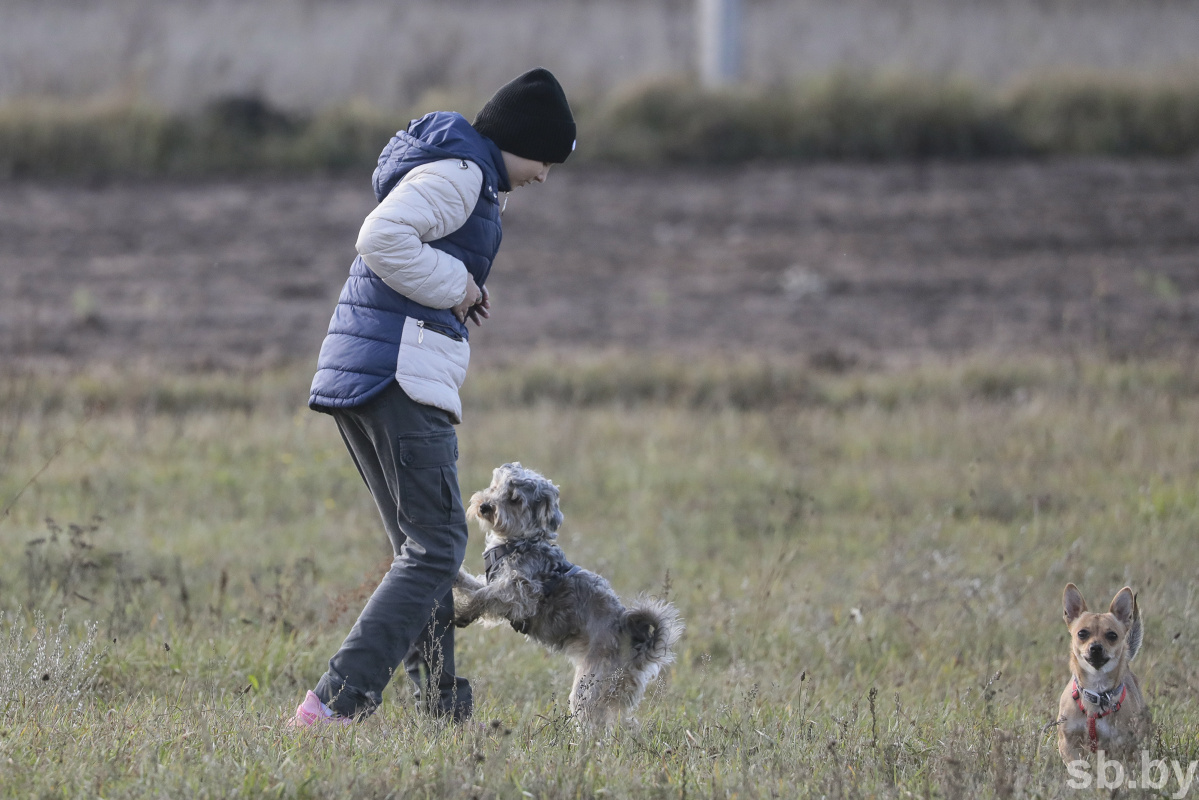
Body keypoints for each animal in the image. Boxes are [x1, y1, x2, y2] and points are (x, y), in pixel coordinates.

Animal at [453, 460, 685, 729]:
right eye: (494, 487)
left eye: (514, 499)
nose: (485, 506)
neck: (519, 542)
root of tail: (641, 648)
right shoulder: (496, 584)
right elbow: (474, 586)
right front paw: (455, 578)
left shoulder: (520, 592)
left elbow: (484, 596)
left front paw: (462, 613)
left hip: (590, 687)